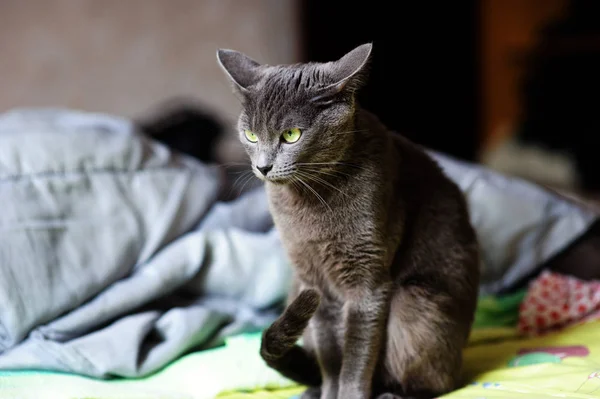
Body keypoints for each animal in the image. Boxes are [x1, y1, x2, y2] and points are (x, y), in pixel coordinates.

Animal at [218, 43, 480, 399]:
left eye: (291, 135)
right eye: (251, 135)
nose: (263, 167)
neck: (309, 200)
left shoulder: (367, 280)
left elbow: (356, 354)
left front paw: (350, 393)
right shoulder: (312, 281)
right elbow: (330, 356)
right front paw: (329, 393)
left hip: (414, 304)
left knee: (438, 382)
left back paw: (392, 394)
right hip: (296, 290)